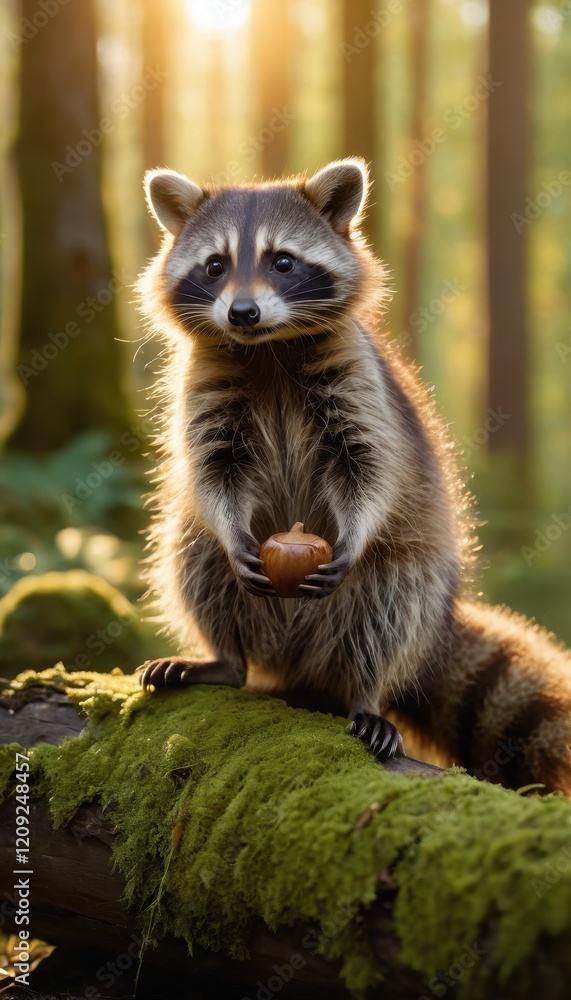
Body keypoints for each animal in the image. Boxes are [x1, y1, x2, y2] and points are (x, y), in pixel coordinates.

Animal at [137, 158, 571, 794]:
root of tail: (294, 665)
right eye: (215, 266)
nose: (242, 313)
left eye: (282, 261)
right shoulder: (206, 387)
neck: (268, 348)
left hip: (411, 572)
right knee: (195, 558)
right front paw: (231, 529)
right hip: (216, 570)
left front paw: (356, 529)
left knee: (390, 605)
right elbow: (212, 473)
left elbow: (369, 467)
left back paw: (365, 693)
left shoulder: (360, 382)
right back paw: (227, 659)